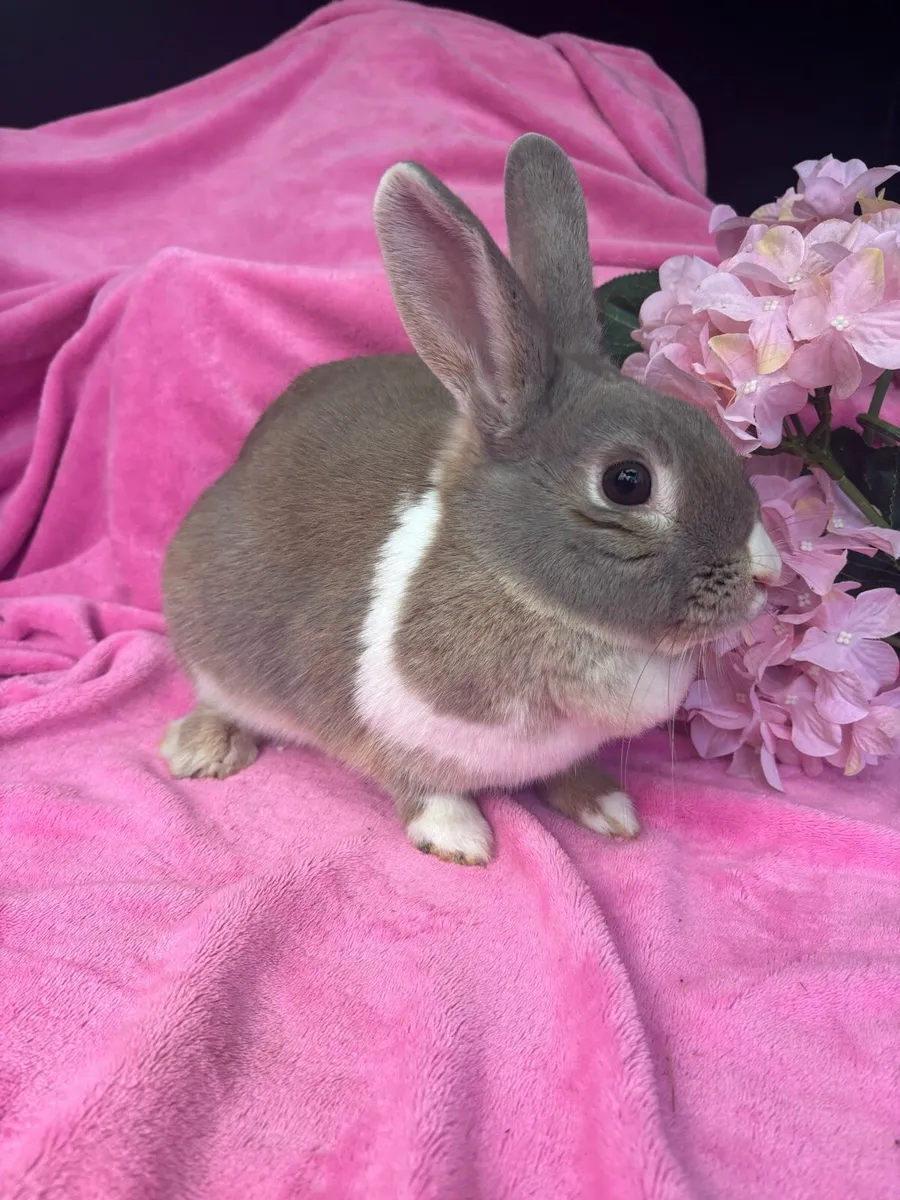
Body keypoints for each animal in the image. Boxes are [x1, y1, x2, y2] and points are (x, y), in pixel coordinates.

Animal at [160, 133, 781, 865]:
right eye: (628, 482)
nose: (767, 573)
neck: (529, 593)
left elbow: (573, 772)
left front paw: (609, 808)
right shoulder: (388, 730)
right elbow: (423, 786)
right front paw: (460, 841)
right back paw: (204, 750)